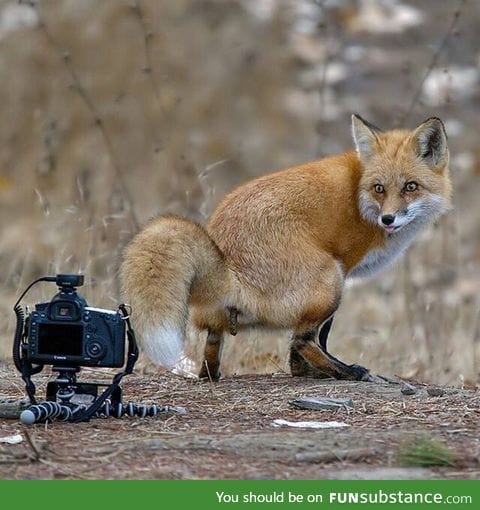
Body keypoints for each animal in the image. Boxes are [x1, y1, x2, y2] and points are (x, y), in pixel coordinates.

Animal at [119, 113, 450, 380]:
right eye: (379, 188)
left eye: (410, 187)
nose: (387, 218)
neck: (360, 197)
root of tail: (229, 267)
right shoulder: (344, 266)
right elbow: (319, 336)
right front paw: (313, 369)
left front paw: (302, 371)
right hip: (329, 280)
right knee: (301, 340)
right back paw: (345, 372)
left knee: (214, 347)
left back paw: (213, 374)